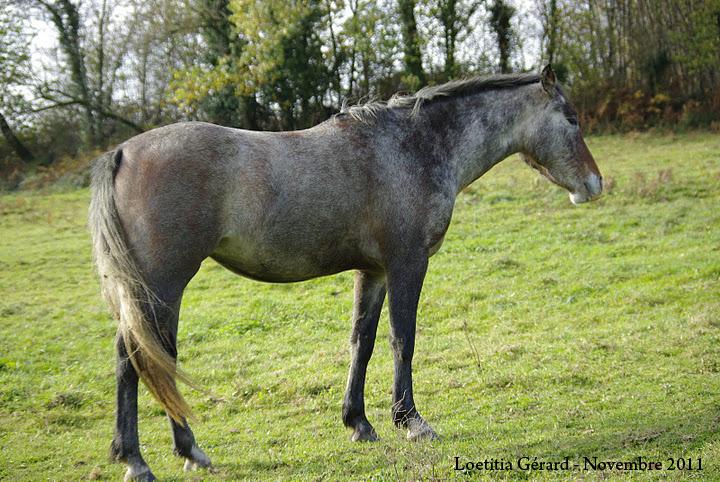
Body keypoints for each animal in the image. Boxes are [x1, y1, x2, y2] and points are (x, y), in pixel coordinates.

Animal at [89, 65, 602, 480]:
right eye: (571, 118)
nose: (594, 185)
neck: (412, 147)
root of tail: (122, 153)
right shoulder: (408, 263)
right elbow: (403, 338)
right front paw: (412, 422)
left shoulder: (373, 271)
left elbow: (363, 341)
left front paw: (359, 423)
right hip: (161, 286)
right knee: (137, 358)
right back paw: (145, 459)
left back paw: (173, 453)